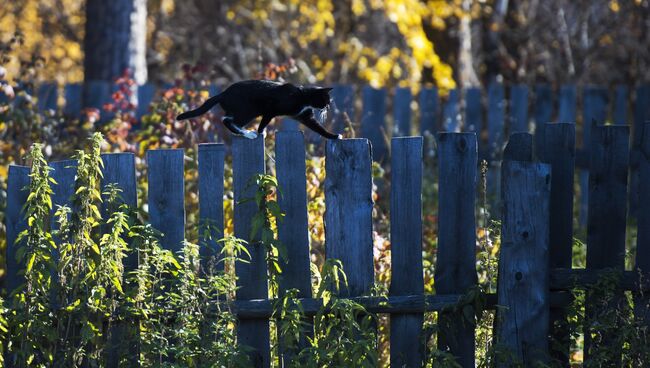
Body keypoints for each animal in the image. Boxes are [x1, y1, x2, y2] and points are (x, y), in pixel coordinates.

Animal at [176, 80, 340, 139]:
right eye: (326, 100)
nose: (328, 107)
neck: (303, 96)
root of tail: (223, 94)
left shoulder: (304, 116)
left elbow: (319, 128)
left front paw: (334, 136)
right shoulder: (271, 109)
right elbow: (264, 121)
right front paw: (261, 132)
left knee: (229, 119)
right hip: (248, 110)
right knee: (226, 120)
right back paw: (248, 134)